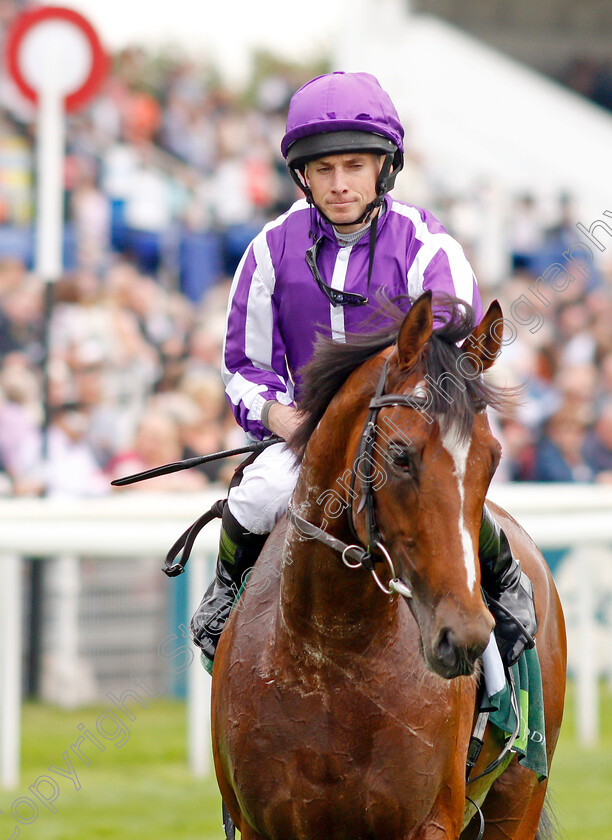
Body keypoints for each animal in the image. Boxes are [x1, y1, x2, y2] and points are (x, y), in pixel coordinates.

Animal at [212, 294, 568, 840]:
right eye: (401, 456)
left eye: (492, 458)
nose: (464, 635)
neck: (330, 658)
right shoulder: (259, 824)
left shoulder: (430, 821)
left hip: (520, 795)